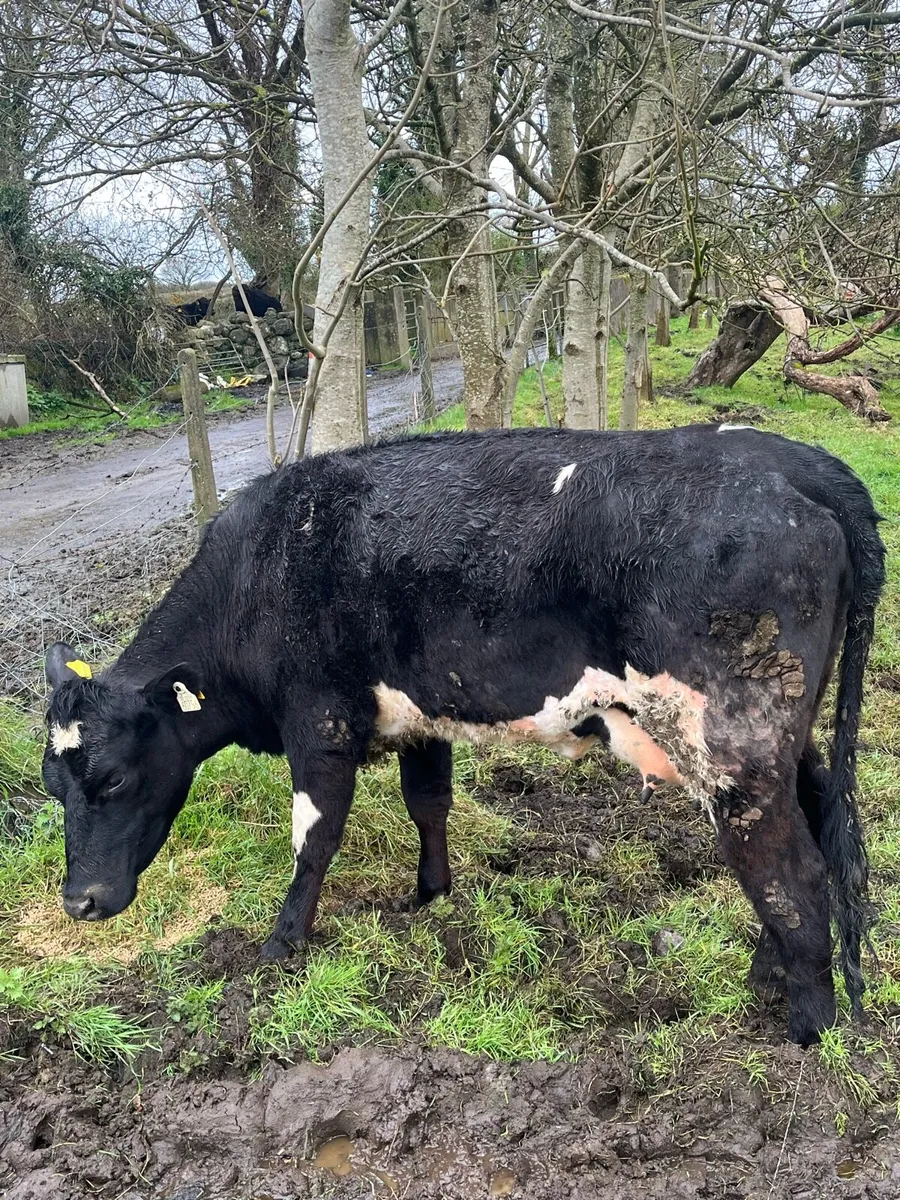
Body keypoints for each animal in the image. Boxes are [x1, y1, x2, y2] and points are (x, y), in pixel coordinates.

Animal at [41, 425, 884, 1046]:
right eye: (54, 786)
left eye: (113, 778)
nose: (79, 903)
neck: (263, 570)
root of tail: (794, 459)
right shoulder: (421, 715)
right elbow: (429, 803)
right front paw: (430, 895)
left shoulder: (319, 722)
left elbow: (314, 838)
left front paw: (281, 945)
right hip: (787, 740)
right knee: (811, 828)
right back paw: (769, 978)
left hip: (733, 747)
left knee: (792, 871)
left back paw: (808, 1029)